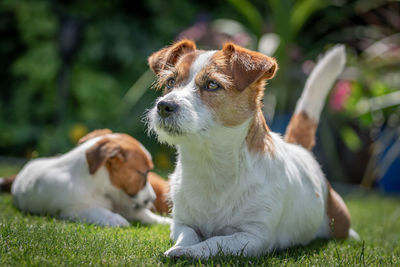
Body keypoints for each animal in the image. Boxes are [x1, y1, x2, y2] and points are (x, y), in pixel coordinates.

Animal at [0, 130, 170, 228]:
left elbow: (145, 215)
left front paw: (164, 221)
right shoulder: (73, 210)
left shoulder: (125, 204)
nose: (154, 199)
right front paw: (115, 219)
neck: (102, 188)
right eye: (144, 173)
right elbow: (96, 210)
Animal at [147, 40, 360, 260]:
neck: (211, 163)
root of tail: (300, 148)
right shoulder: (182, 224)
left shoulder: (252, 238)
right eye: (171, 82)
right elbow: (187, 235)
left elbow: (214, 242)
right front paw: (179, 248)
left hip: (338, 219)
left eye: (212, 85)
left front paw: (188, 252)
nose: (164, 106)